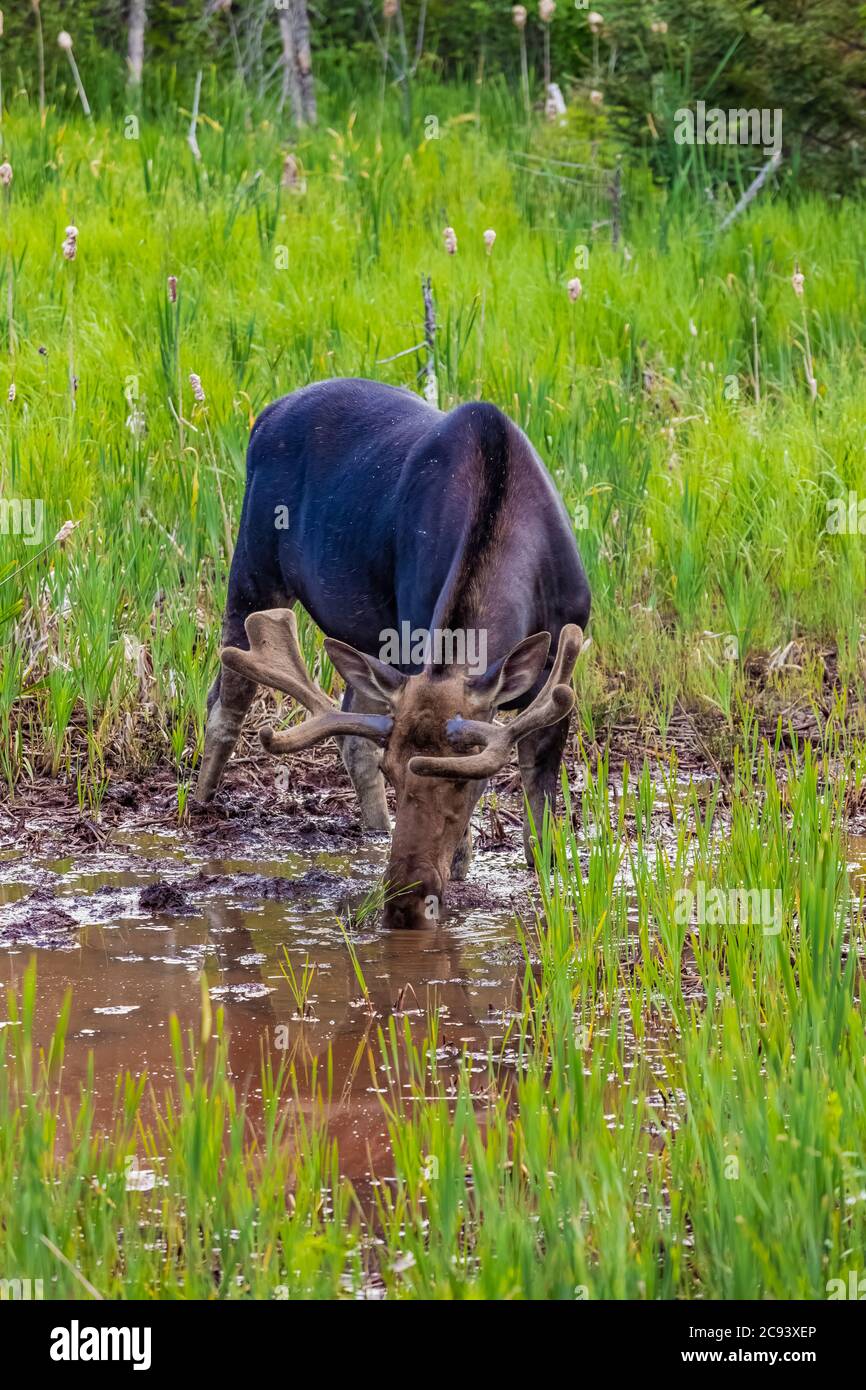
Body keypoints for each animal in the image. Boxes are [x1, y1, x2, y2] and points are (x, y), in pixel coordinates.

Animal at [194, 375, 589, 928]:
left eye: (470, 782)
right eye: (394, 772)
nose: (404, 899)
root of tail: (265, 414)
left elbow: (541, 800)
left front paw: (545, 868)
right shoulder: (411, 634)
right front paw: (459, 865)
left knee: (346, 723)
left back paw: (376, 830)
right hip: (253, 563)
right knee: (228, 696)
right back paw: (201, 805)